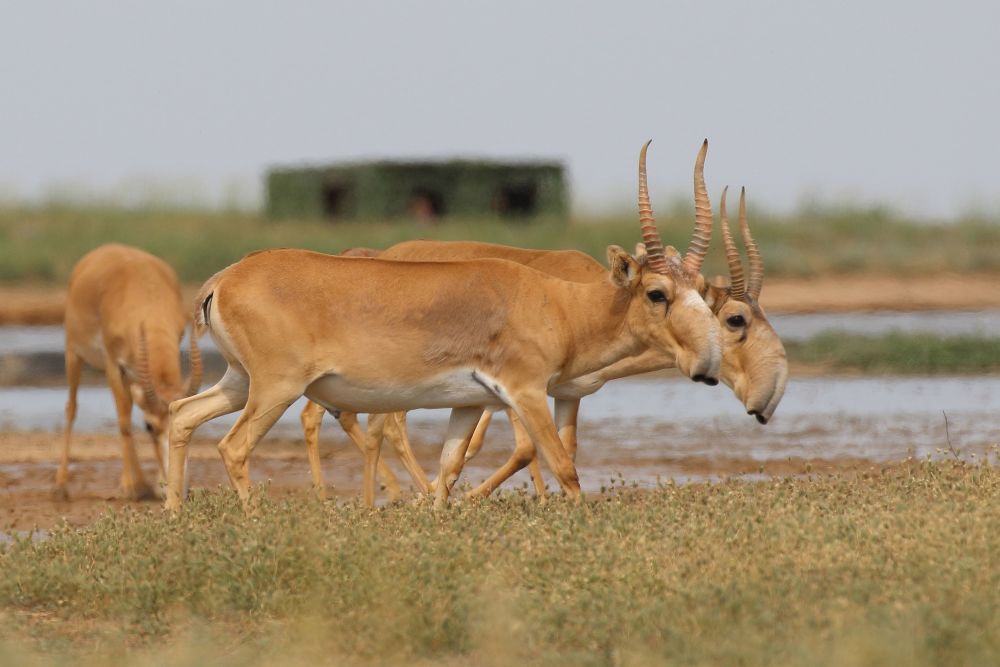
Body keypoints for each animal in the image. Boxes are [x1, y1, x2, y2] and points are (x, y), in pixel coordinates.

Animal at [57, 245, 203, 500]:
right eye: (149, 426)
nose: (181, 488)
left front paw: (152, 485)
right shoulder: (114, 365)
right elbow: (124, 421)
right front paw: (131, 486)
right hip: (73, 355)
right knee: (72, 408)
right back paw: (62, 485)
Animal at [168, 144, 724, 512]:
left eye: (699, 287)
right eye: (657, 292)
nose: (706, 364)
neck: (558, 304)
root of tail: (223, 278)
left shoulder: (470, 403)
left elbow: (447, 474)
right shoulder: (525, 393)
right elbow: (564, 467)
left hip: (239, 382)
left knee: (181, 416)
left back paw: (175, 516)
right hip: (276, 388)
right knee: (233, 446)